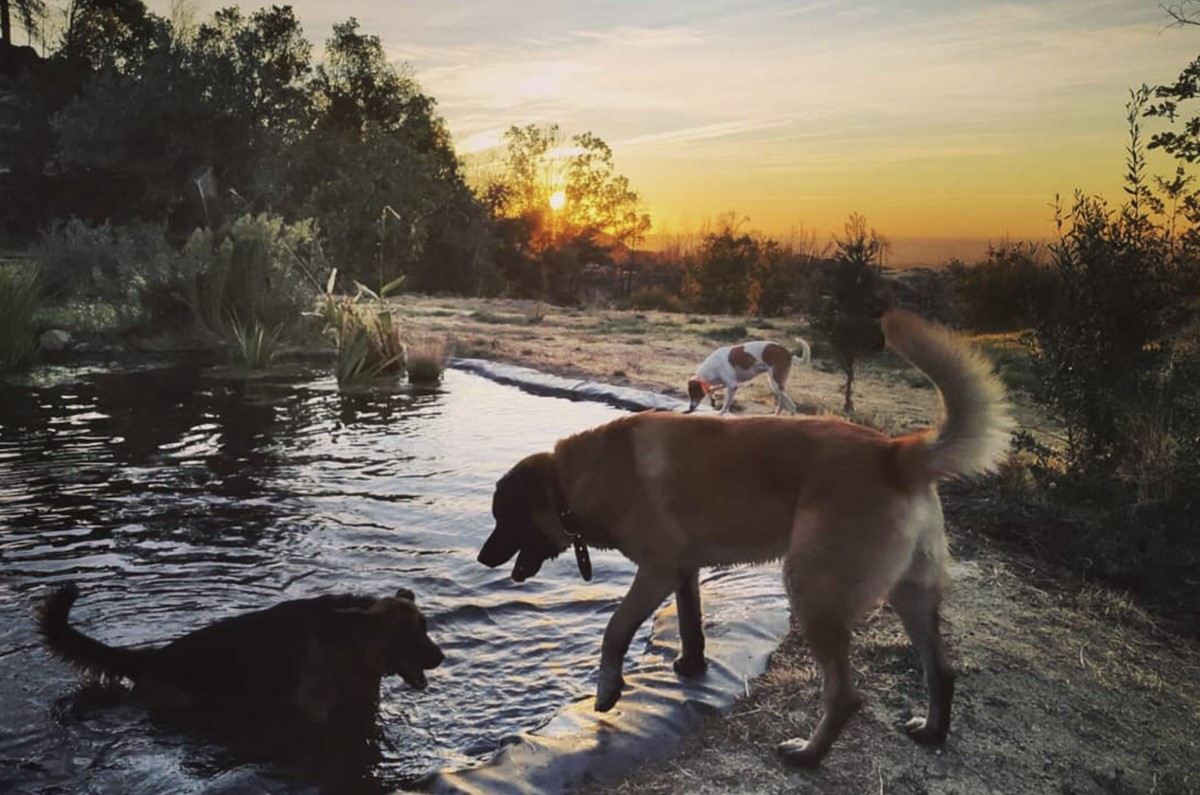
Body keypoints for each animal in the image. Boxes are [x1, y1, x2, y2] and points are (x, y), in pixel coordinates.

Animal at [686, 338, 816, 417]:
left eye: (695, 394)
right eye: (690, 395)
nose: (691, 408)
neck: (711, 368)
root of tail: (787, 352)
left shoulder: (732, 386)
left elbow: (726, 404)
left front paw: (720, 413)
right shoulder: (725, 384)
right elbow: (713, 390)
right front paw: (713, 399)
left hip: (776, 384)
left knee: (792, 406)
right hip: (776, 385)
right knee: (783, 402)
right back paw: (775, 416)